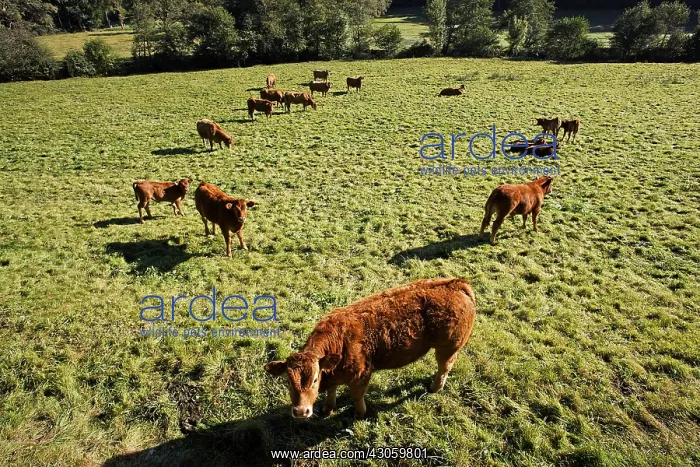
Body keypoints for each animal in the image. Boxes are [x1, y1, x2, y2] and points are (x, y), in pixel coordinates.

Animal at [264, 278, 477, 420]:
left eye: (315, 379)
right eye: (288, 381)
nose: (301, 411)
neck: (338, 341)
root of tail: (456, 283)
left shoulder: (361, 375)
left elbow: (357, 397)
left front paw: (359, 414)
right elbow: (331, 392)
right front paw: (327, 409)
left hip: (448, 347)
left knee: (444, 367)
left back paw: (434, 388)